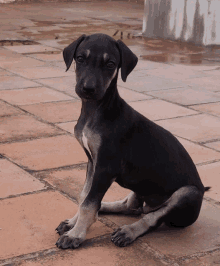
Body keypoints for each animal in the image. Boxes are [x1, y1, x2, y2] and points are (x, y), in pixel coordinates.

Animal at [55, 33, 209, 249]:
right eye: (80, 58)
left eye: (110, 64)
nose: (88, 89)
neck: (96, 111)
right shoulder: (92, 162)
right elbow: (84, 196)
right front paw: (73, 223)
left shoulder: (105, 167)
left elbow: (89, 203)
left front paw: (76, 234)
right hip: (141, 189)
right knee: (132, 206)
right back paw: (104, 210)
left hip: (188, 193)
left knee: (152, 217)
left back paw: (128, 231)